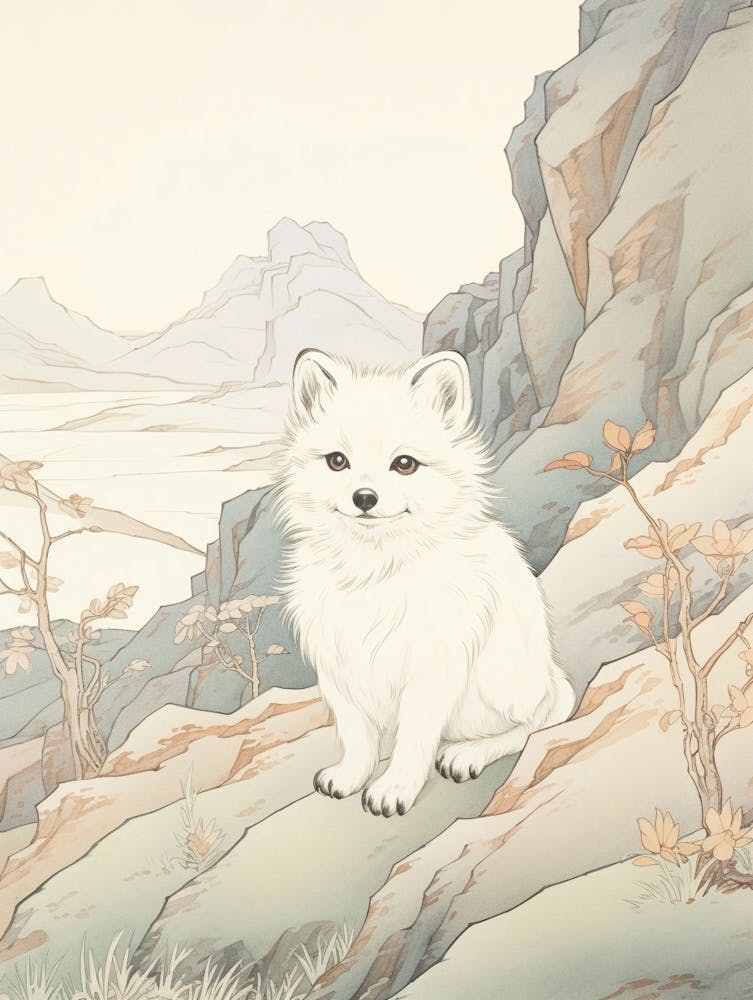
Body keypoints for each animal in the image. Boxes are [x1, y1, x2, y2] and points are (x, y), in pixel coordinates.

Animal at [272, 348, 575, 816]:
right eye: (337, 461)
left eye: (404, 464)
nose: (364, 498)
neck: (374, 572)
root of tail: (550, 675)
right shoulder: (338, 668)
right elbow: (356, 734)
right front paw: (349, 777)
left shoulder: (431, 669)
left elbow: (413, 739)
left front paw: (393, 790)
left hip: (501, 687)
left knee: (532, 723)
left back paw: (466, 755)